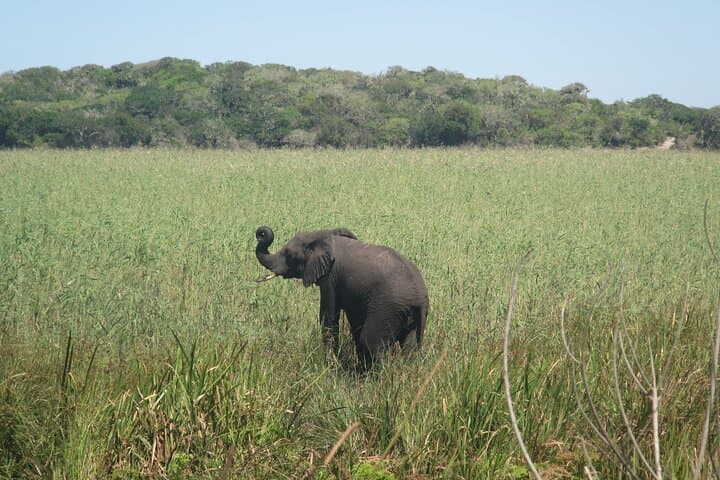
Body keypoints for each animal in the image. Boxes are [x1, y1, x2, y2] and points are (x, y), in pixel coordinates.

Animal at [254, 226, 429, 369]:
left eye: (288, 254)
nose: (260, 234)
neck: (324, 235)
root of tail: (418, 297)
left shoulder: (330, 277)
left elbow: (328, 317)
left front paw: (330, 366)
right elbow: (355, 321)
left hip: (388, 308)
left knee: (371, 342)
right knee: (409, 348)